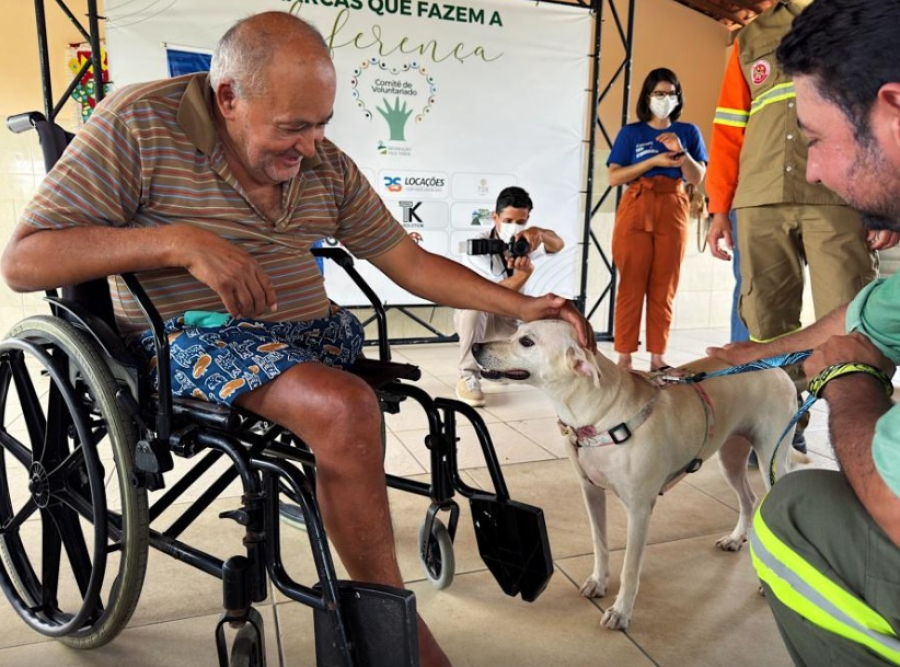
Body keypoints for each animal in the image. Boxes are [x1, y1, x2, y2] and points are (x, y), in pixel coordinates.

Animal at [474, 320, 800, 628]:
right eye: (516, 333)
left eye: (526, 342)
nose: (476, 346)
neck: (599, 414)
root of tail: (774, 367)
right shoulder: (590, 491)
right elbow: (600, 543)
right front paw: (599, 581)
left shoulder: (639, 510)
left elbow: (630, 568)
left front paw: (621, 611)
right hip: (731, 458)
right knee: (748, 498)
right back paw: (735, 538)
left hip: (772, 460)